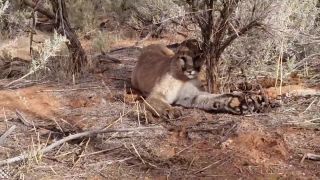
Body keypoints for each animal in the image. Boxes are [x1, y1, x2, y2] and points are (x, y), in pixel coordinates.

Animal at [131, 39, 268, 118]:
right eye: (183, 58)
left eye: (197, 57)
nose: (190, 70)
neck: (183, 77)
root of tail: (150, 45)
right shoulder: (156, 95)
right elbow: (161, 104)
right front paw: (172, 111)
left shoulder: (189, 95)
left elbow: (210, 98)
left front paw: (236, 102)